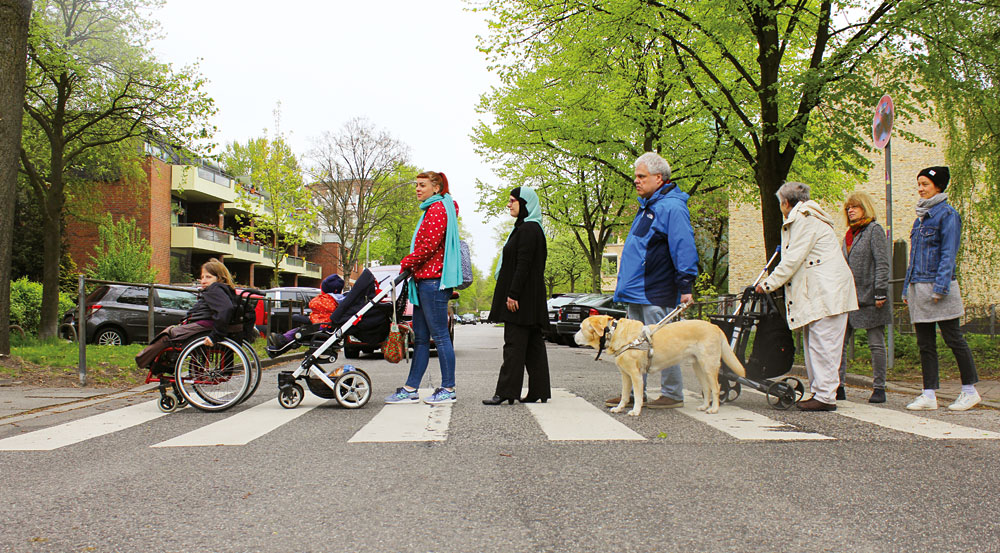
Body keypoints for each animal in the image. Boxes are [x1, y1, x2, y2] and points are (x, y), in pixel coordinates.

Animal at [576, 314, 748, 414]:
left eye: (580, 328)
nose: (573, 337)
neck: (614, 333)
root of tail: (715, 326)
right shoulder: (625, 375)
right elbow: (625, 395)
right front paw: (619, 408)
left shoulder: (636, 375)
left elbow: (637, 395)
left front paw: (635, 411)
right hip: (698, 367)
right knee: (707, 388)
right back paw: (705, 406)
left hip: (709, 365)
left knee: (716, 388)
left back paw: (714, 408)